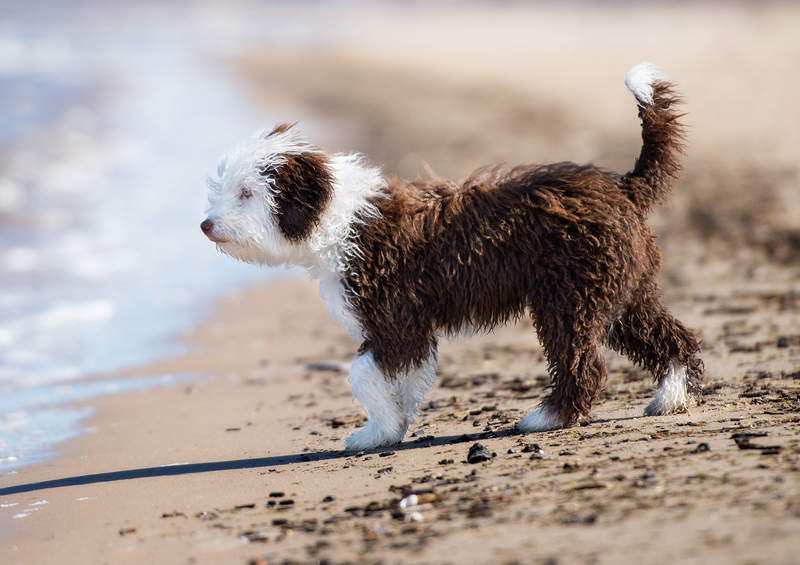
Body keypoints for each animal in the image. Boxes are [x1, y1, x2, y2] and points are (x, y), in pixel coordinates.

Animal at [203, 62, 704, 450]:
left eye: (247, 193)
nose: (206, 226)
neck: (340, 219)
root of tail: (621, 186)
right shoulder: (405, 327)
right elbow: (401, 376)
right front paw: (389, 428)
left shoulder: (393, 318)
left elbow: (364, 372)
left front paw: (372, 433)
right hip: (622, 289)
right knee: (673, 338)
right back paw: (671, 395)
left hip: (570, 297)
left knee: (585, 363)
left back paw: (548, 417)